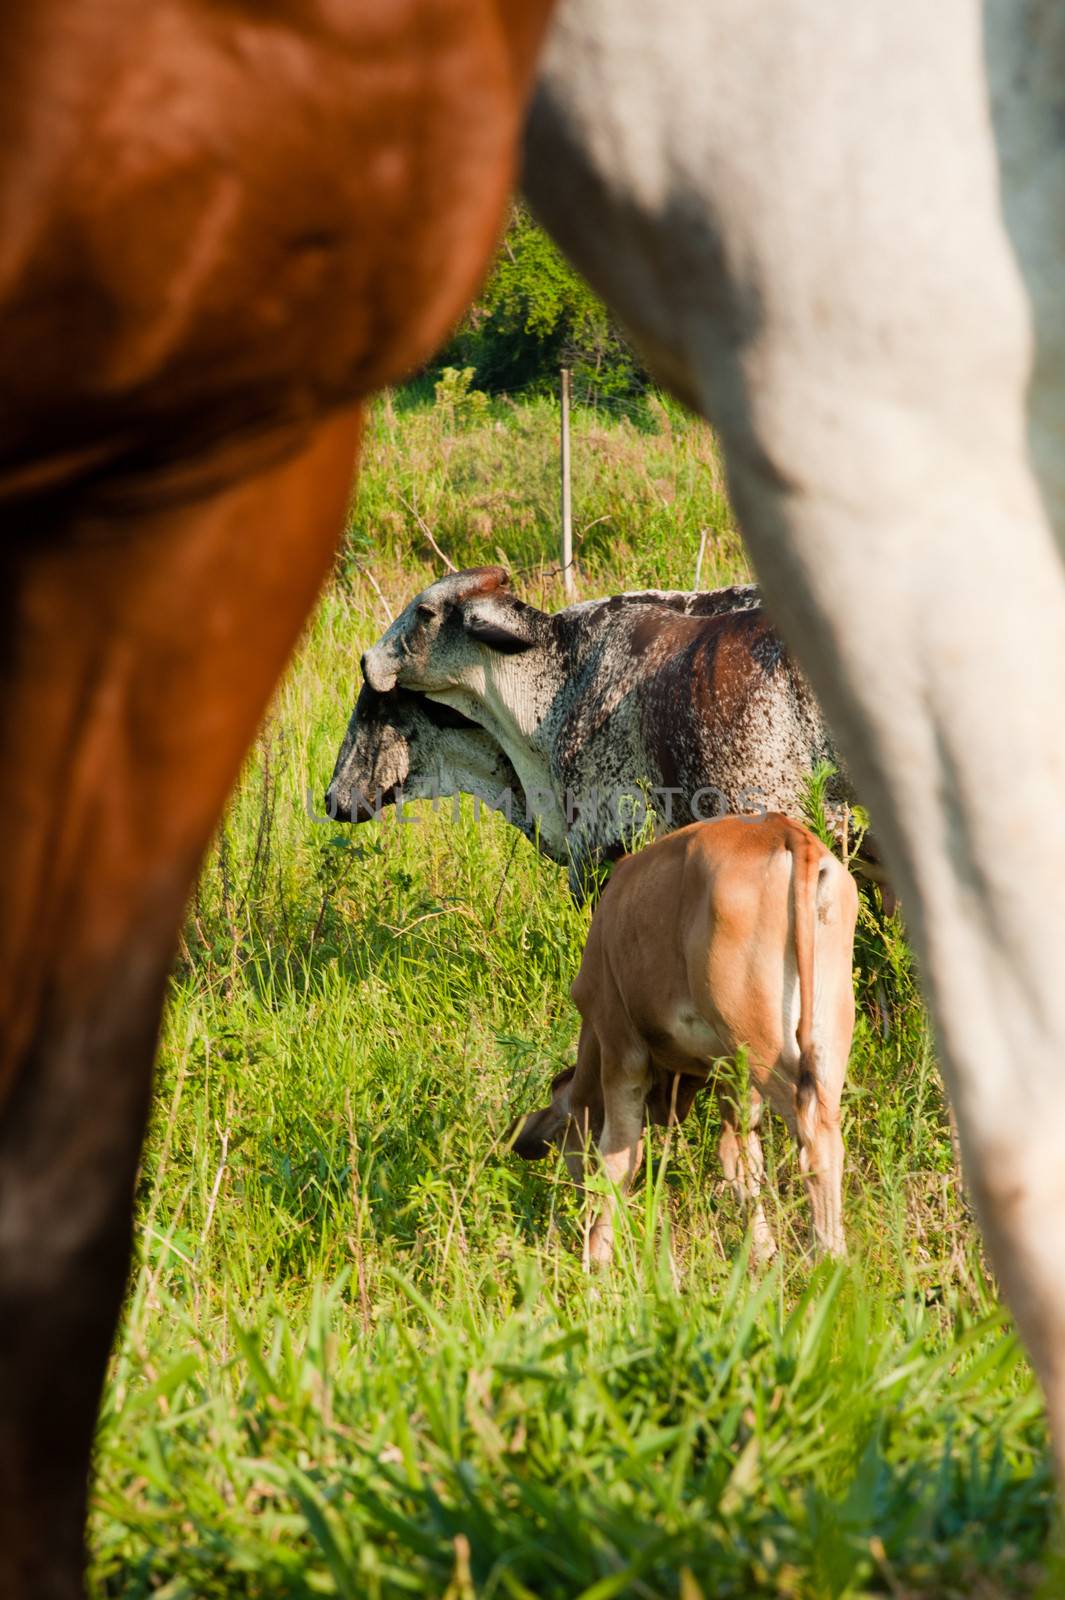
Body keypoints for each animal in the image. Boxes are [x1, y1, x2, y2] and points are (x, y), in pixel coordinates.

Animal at [508, 819, 857, 1267]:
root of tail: (782, 829)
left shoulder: (620, 1048)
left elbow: (619, 1159)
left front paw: (596, 1261)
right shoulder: (730, 1075)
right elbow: (739, 1157)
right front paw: (762, 1251)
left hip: (758, 1039)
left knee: (811, 1134)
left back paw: (828, 1258)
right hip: (823, 1031)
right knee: (827, 1129)